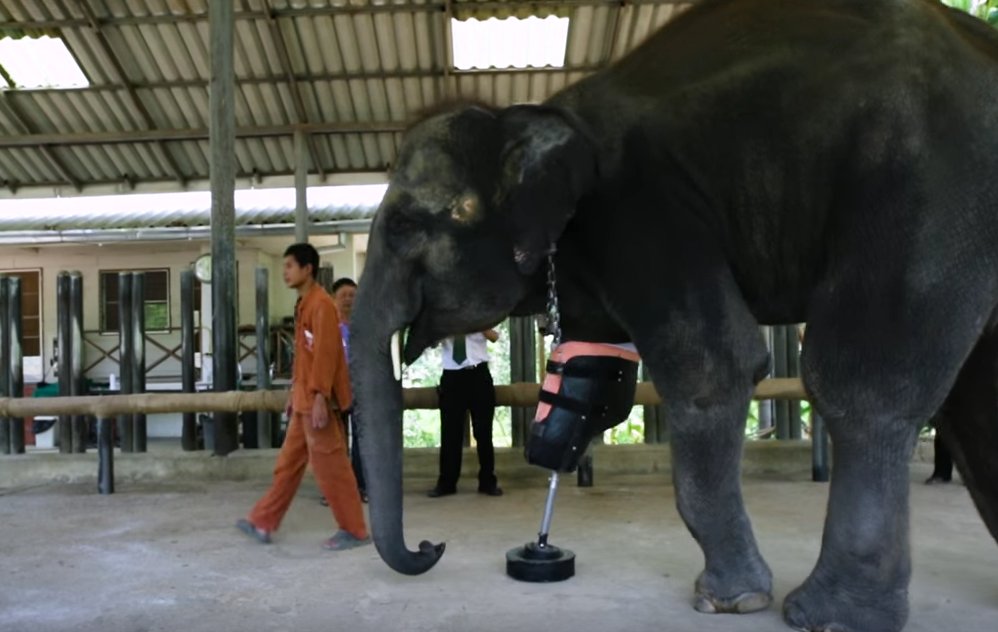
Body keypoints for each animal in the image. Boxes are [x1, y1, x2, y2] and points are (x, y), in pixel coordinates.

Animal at [348, 1, 998, 630]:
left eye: (403, 224)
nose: (432, 546)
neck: (540, 114)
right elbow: (599, 373)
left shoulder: (642, 209)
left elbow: (715, 367)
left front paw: (731, 601)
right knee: (974, 393)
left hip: (923, 178)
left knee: (863, 381)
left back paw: (831, 617)